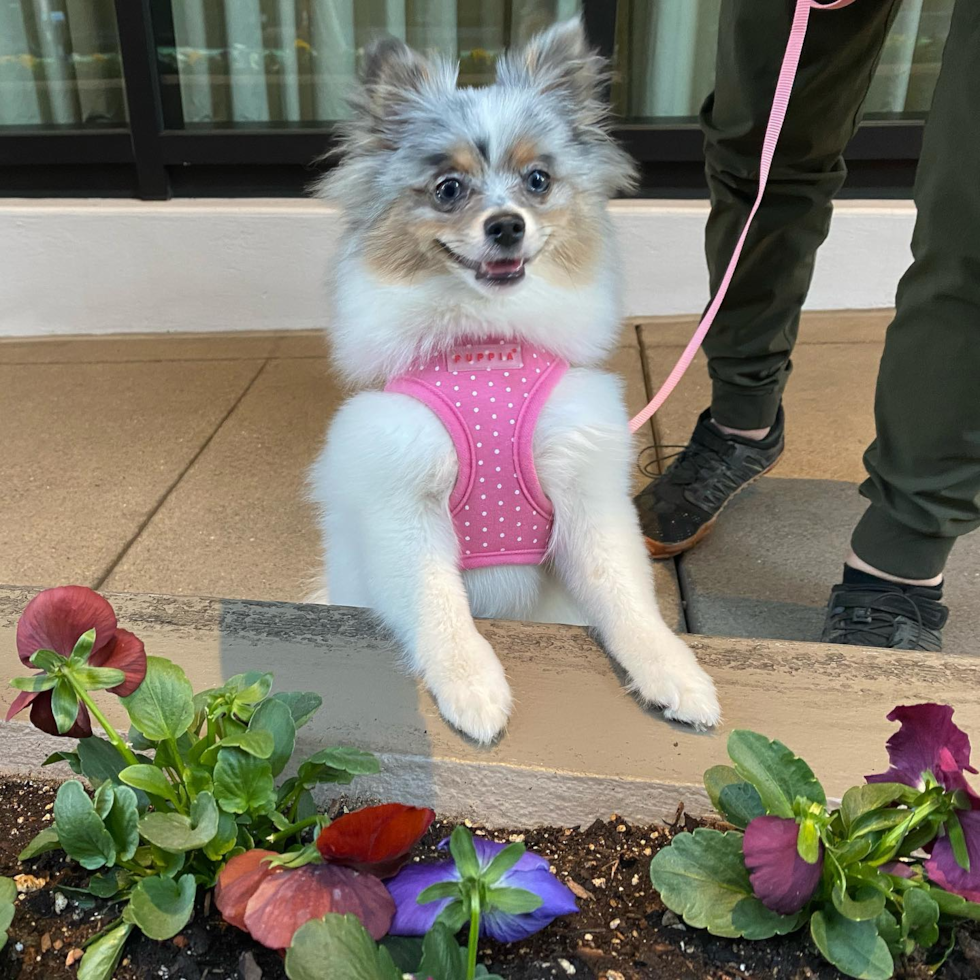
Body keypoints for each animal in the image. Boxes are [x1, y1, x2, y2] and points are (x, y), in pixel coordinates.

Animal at [310, 17, 724, 744]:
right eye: (449, 188)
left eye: (538, 181)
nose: (506, 225)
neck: (486, 343)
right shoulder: (403, 504)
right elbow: (438, 604)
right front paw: (472, 684)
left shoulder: (587, 497)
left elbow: (625, 597)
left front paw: (672, 671)